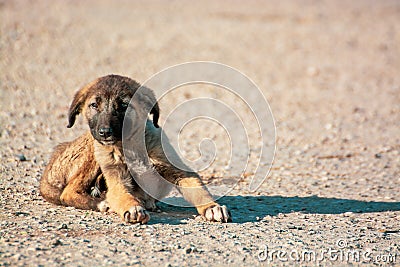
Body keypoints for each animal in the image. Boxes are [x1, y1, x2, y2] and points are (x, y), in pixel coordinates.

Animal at [40, 75, 231, 224]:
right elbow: (122, 195)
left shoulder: (177, 170)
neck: (129, 147)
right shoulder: (116, 179)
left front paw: (212, 207)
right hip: (91, 149)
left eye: (124, 105)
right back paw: (102, 202)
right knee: (68, 192)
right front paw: (132, 207)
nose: (105, 132)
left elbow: (198, 189)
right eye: (94, 105)